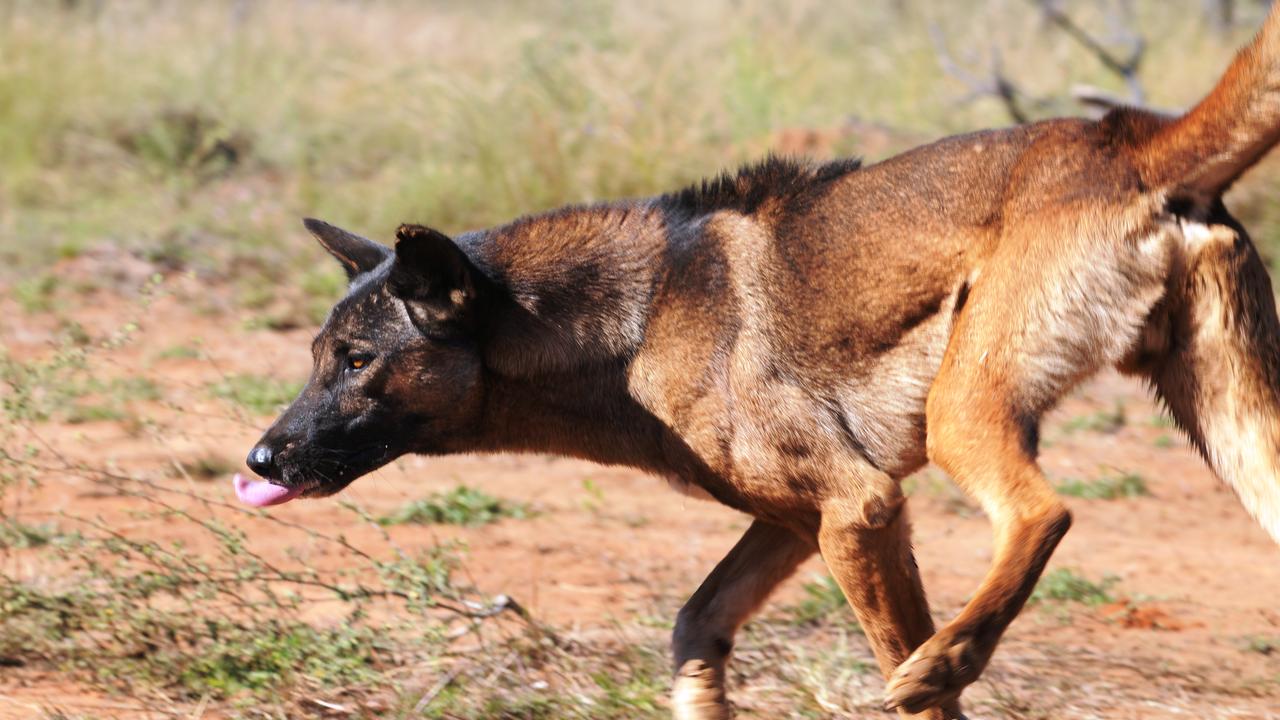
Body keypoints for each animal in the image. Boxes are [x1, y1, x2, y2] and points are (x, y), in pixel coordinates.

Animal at [238, 8, 1280, 712]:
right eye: (316, 356)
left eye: (356, 360)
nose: (258, 460)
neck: (634, 325)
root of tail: (1133, 136)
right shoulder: (802, 522)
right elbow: (694, 629)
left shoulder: (860, 508)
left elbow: (922, 694)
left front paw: (930, 676)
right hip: (1236, 438)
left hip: (965, 416)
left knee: (1041, 515)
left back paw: (946, 656)